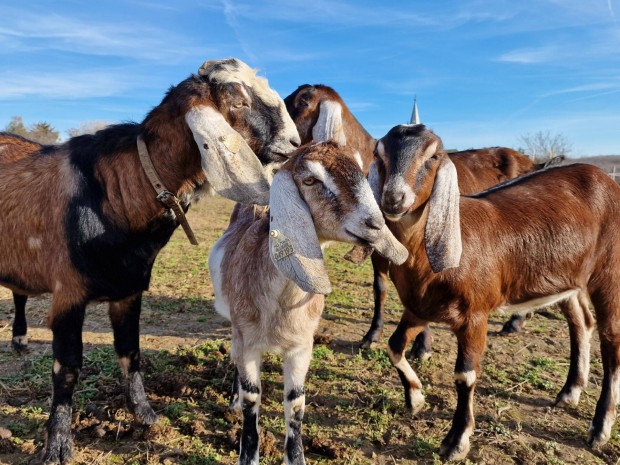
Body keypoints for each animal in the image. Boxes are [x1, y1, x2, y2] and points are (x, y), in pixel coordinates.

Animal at [0, 59, 300, 464]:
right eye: (237, 101)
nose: (294, 143)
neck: (115, 191)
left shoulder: (129, 290)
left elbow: (131, 353)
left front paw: (145, 416)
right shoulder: (68, 293)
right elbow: (67, 368)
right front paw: (58, 445)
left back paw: (19, 339)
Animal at [370, 124, 616, 460]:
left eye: (433, 156)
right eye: (378, 154)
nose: (394, 199)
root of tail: (605, 178)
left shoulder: (475, 314)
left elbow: (465, 375)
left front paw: (456, 441)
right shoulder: (420, 308)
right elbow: (394, 346)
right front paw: (416, 399)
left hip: (609, 272)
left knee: (611, 338)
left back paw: (599, 428)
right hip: (569, 279)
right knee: (581, 323)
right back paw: (569, 393)